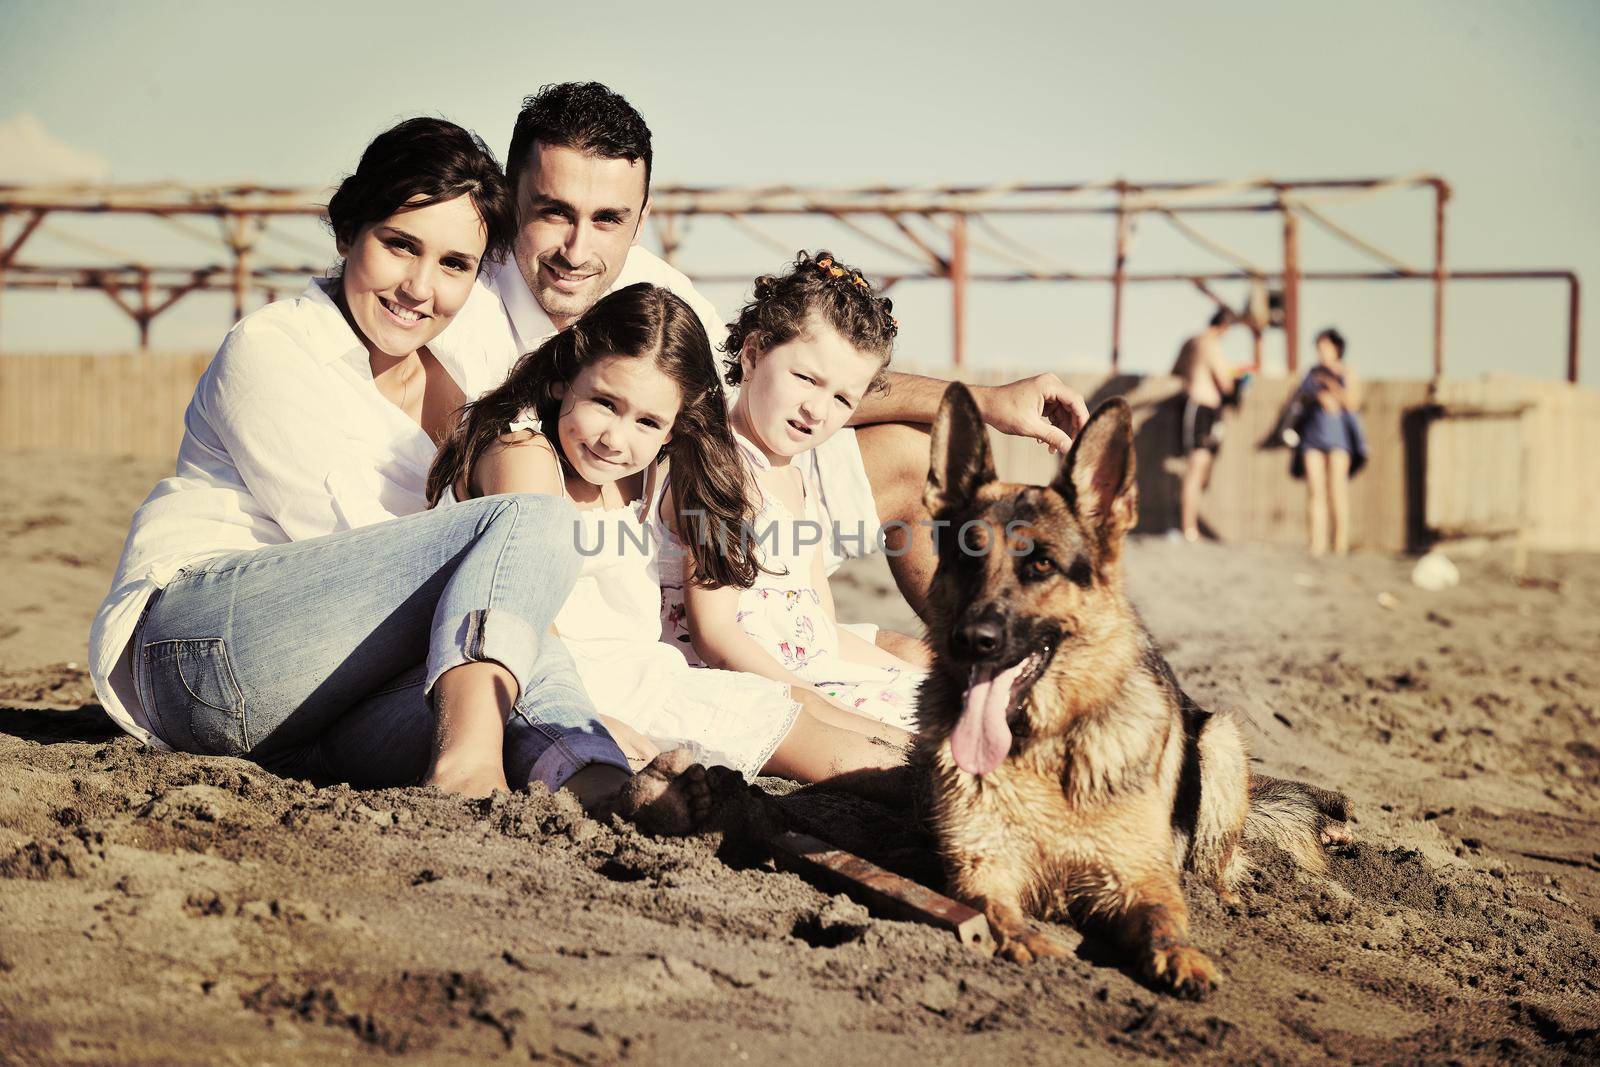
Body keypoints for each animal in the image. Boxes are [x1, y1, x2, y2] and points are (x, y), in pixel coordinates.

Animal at [915, 385, 1350, 1004]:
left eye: (1041, 564)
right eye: (965, 557)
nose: (972, 639)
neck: (1046, 746)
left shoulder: (1140, 878)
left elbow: (1165, 920)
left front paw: (1183, 957)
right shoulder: (980, 868)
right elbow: (995, 912)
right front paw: (1029, 942)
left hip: (1219, 739)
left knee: (1216, 866)